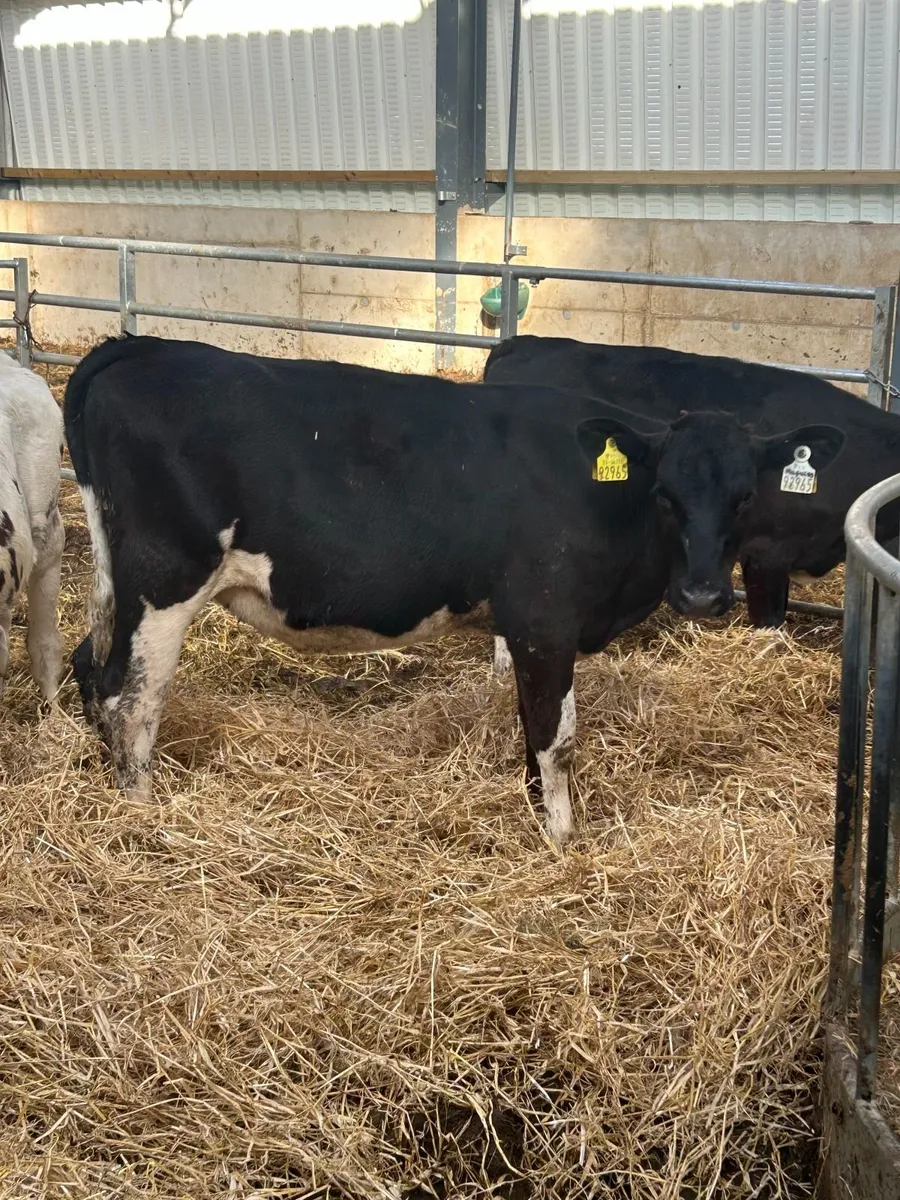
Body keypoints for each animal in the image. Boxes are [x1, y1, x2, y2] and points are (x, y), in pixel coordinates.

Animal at [64, 334, 843, 844]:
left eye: (745, 497)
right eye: (666, 495)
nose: (705, 598)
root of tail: (137, 347)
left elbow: (532, 729)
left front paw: (538, 814)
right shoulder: (544, 620)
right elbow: (557, 735)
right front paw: (562, 840)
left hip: (115, 583)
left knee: (90, 666)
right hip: (166, 579)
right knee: (131, 699)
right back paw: (141, 815)